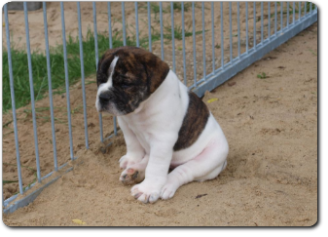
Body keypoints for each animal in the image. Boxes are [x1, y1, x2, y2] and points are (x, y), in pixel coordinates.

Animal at [95, 46, 228, 204]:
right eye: (100, 80)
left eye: (125, 84)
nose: (103, 96)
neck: (140, 109)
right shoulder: (126, 125)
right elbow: (133, 144)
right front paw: (132, 159)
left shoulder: (162, 140)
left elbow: (155, 167)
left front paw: (147, 189)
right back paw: (135, 172)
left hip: (208, 159)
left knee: (181, 171)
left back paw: (165, 185)